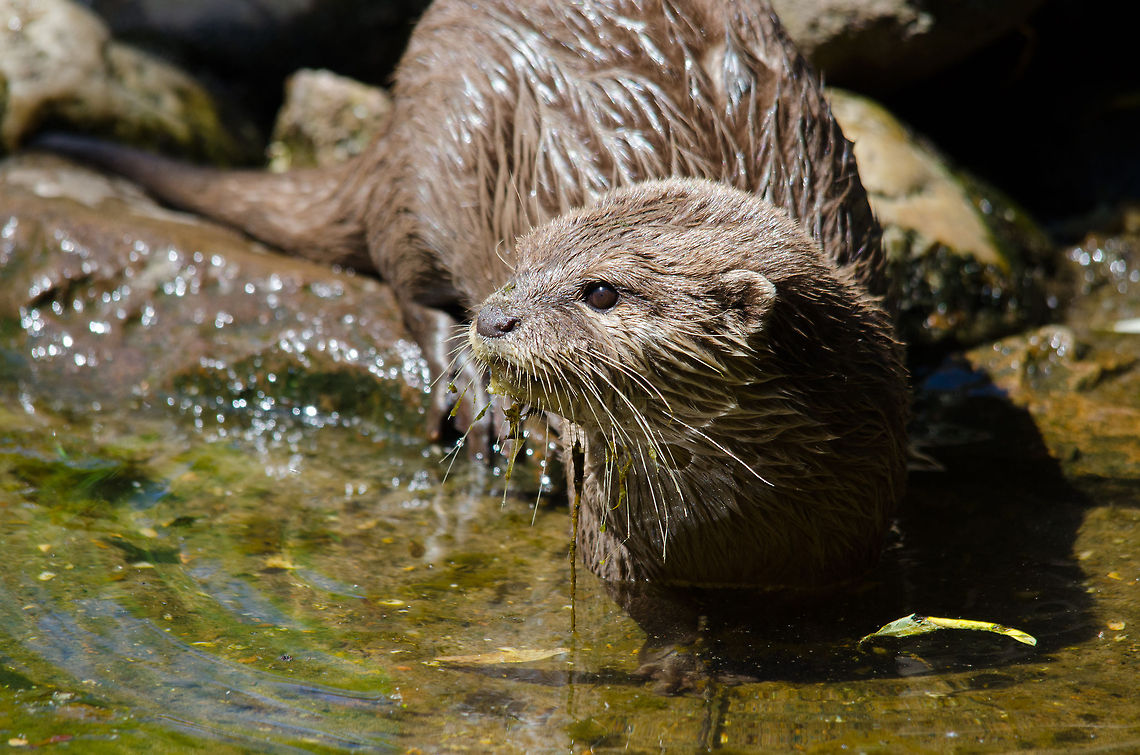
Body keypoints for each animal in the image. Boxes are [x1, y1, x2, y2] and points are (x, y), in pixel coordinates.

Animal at [36, 0, 908, 590]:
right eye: (523, 259)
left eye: (600, 291)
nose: (496, 315)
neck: (739, 526)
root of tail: (389, 119)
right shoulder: (615, 546)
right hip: (433, 156)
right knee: (406, 279)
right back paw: (472, 397)